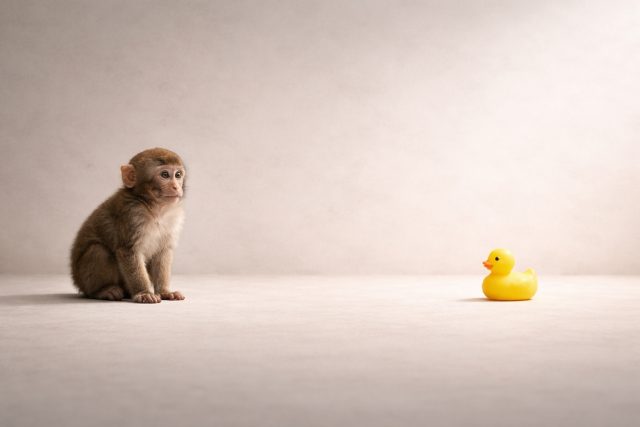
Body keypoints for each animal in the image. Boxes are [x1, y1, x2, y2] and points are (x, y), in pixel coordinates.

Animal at [71, 148, 187, 303]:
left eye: (178, 175)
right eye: (165, 175)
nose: (175, 186)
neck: (154, 208)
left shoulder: (172, 219)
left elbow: (163, 252)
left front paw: (165, 292)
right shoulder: (131, 215)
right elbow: (128, 251)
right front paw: (144, 292)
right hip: (84, 280)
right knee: (97, 250)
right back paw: (102, 291)